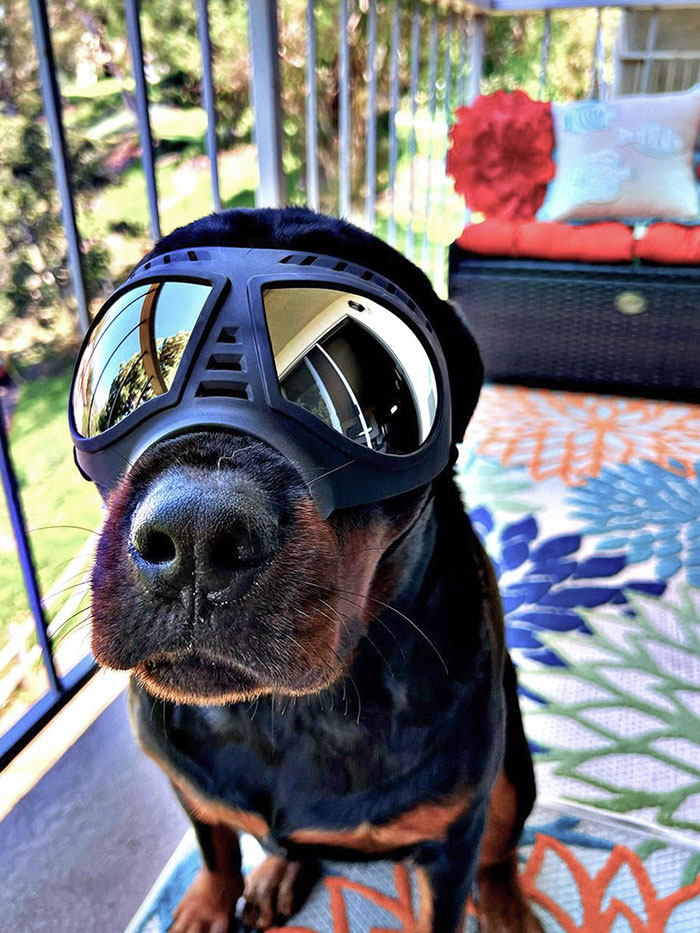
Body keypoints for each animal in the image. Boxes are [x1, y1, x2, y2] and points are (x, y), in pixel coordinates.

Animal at [83, 208, 540, 928]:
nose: (195, 532)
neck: (285, 714)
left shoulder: (450, 836)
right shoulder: (184, 775)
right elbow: (214, 846)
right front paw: (209, 902)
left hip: (513, 765)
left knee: (501, 840)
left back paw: (506, 904)